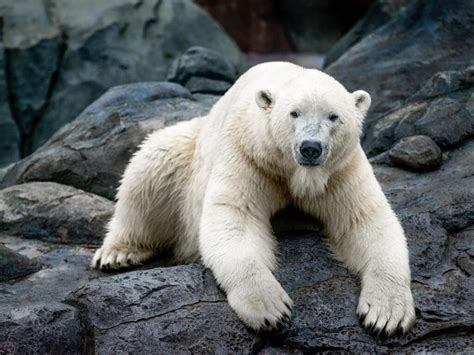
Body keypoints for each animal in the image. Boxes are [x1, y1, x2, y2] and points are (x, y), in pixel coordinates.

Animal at [91, 61, 414, 336]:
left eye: (334, 117)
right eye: (294, 113)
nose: (310, 148)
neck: (291, 171)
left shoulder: (340, 170)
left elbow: (365, 220)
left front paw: (386, 314)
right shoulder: (249, 155)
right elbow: (236, 218)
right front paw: (270, 309)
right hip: (186, 152)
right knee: (150, 166)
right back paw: (118, 253)